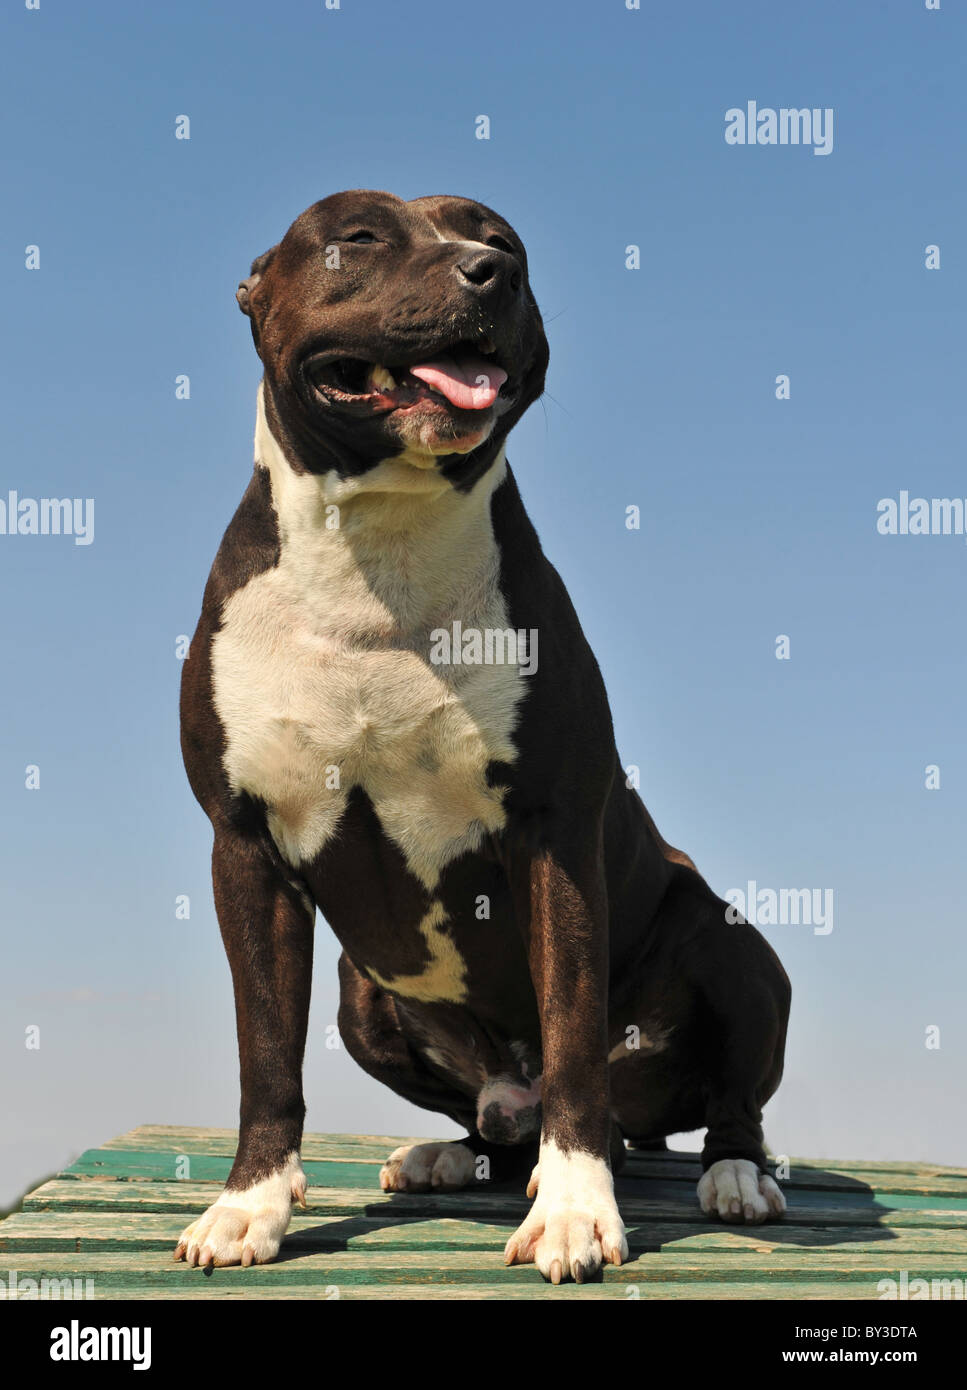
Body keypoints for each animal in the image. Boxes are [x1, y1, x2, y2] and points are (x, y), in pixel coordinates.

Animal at [175, 193, 794, 1278]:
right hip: (361, 997)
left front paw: (578, 1213)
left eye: (501, 240)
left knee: (711, 1100)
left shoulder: (554, 836)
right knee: (500, 1124)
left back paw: (731, 1174)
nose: (486, 272)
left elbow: (575, 1035)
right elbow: (265, 1052)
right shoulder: (243, 847)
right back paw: (450, 1154)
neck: (377, 550)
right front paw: (251, 1204)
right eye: (357, 236)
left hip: (735, 945)